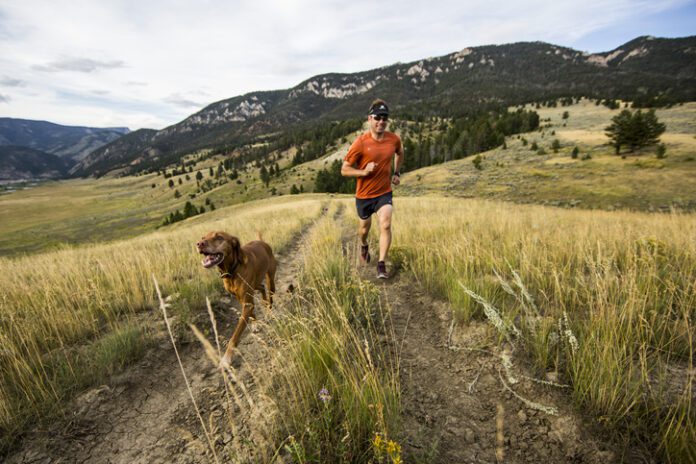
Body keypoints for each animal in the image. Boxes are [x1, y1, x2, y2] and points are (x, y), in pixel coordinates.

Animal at [196, 231, 278, 366]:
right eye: (203, 237)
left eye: (219, 237)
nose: (199, 244)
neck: (232, 270)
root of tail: (262, 242)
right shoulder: (242, 299)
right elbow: (251, 312)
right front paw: (255, 324)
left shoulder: (247, 302)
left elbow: (235, 335)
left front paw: (226, 357)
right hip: (254, 285)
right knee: (261, 288)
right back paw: (264, 302)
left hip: (270, 280)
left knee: (270, 297)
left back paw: (269, 312)